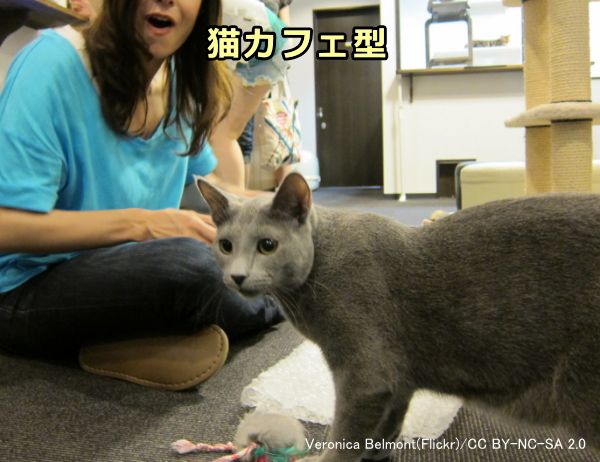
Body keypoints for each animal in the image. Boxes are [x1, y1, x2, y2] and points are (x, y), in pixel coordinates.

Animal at [198, 173, 600, 462]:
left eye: (267, 245)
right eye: (225, 245)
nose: (237, 276)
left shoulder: (365, 374)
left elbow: (346, 433)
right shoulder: (398, 379)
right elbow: (385, 427)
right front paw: (377, 454)